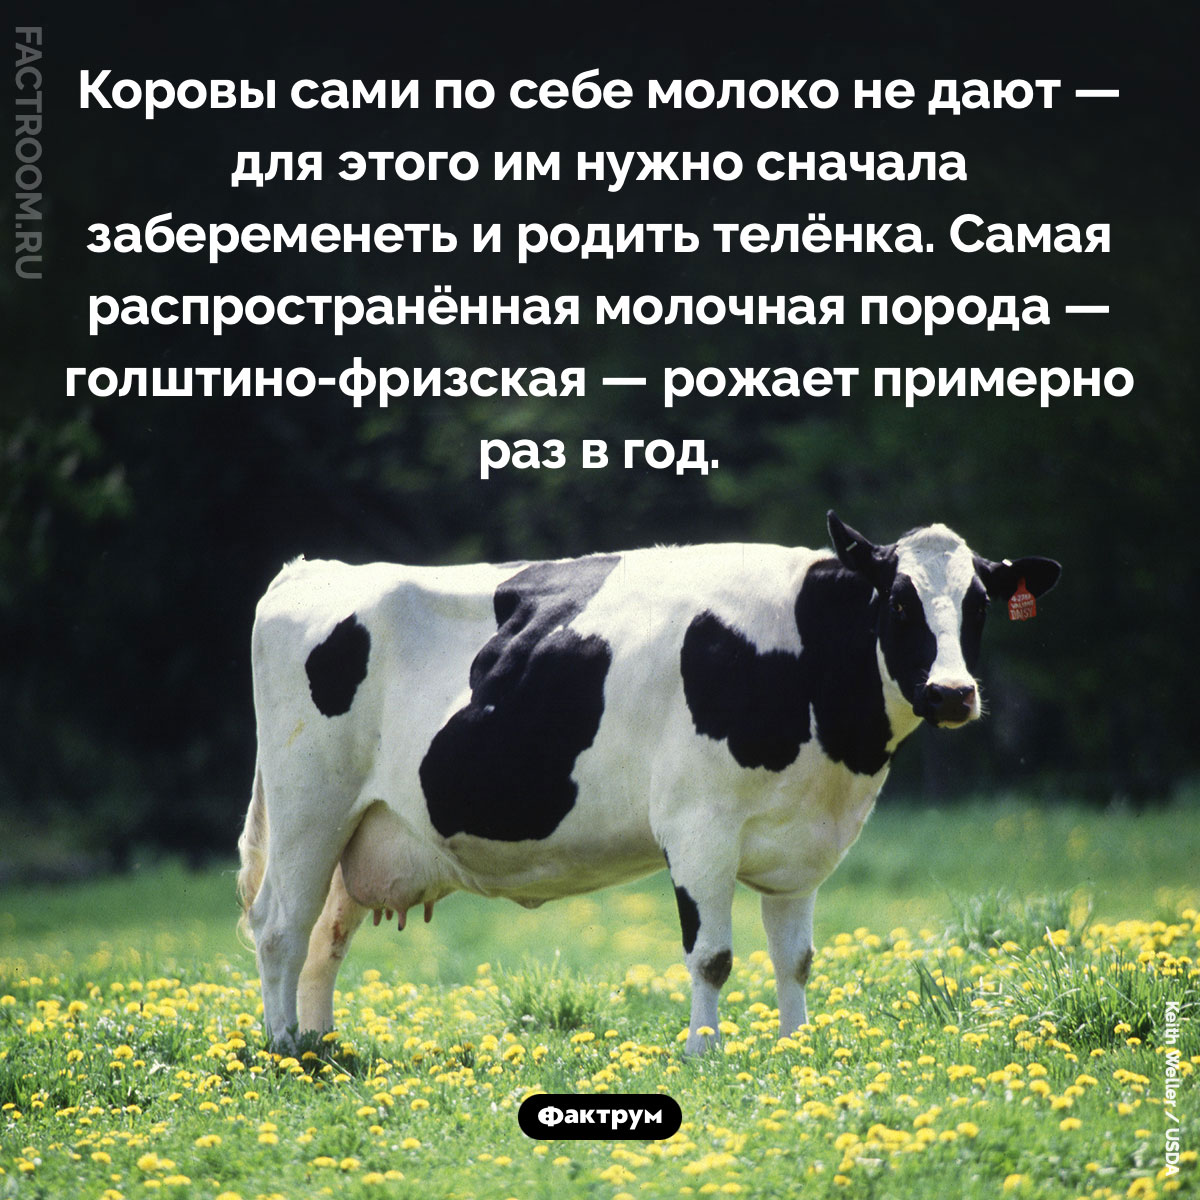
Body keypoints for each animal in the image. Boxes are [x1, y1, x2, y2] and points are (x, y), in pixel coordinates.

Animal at [237, 512, 1060, 1052]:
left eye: (979, 604)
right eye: (898, 600)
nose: (952, 692)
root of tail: (311, 570)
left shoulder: (802, 846)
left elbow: (795, 958)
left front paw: (797, 1048)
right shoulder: (699, 827)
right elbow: (713, 955)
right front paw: (704, 1052)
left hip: (362, 827)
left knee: (325, 936)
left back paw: (321, 1044)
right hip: (309, 805)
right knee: (280, 925)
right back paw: (285, 1050)